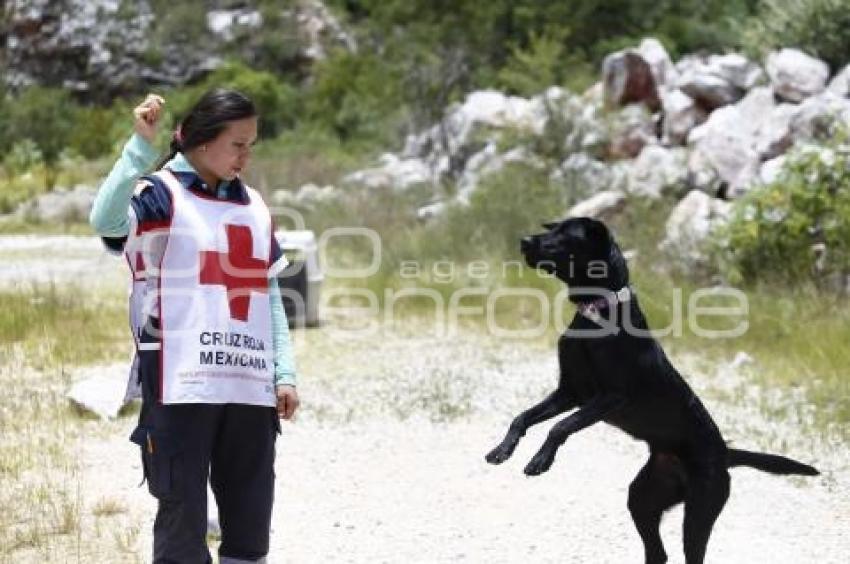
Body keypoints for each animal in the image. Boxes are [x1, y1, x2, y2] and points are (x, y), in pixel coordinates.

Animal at [486, 217, 820, 564]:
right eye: (552, 227)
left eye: (565, 234)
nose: (525, 241)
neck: (596, 312)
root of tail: (725, 454)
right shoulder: (570, 392)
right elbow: (523, 417)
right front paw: (502, 450)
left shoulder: (609, 397)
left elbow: (561, 426)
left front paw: (541, 460)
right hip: (643, 498)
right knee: (657, 552)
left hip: (699, 512)